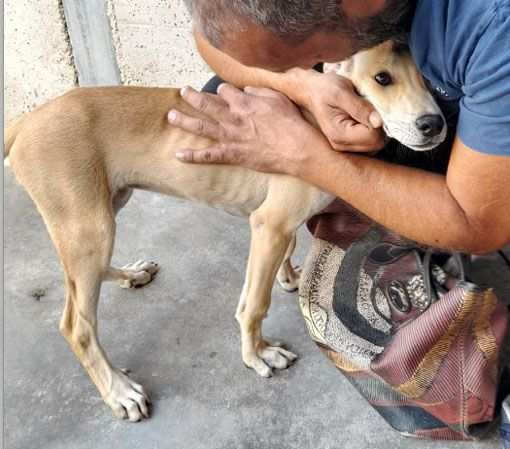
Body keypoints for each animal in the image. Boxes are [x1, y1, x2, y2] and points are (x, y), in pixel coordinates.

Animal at [3, 40, 444, 422]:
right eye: (382, 78)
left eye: (428, 77)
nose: (433, 124)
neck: (313, 121)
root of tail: (25, 121)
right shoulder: (269, 222)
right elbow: (254, 304)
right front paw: (258, 355)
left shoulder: (277, 226)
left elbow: (287, 251)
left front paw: (289, 276)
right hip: (89, 227)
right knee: (77, 325)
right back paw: (119, 391)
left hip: (106, 208)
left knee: (81, 280)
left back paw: (132, 273)